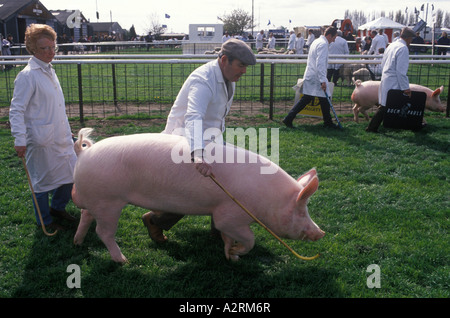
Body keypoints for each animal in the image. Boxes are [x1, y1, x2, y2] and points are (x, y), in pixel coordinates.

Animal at [72, 129, 326, 264]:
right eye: (302, 211)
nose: (321, 232)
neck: (267, 199)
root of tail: (83, 153)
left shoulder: (222, 214)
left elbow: (226, 237)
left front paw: (230, 256)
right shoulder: (231, 215)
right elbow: (250, 239)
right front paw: (237, 254)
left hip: (96, 200)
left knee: (85, 216)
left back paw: (77, 242)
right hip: (108, 202)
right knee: (103, 231)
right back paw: (123, 260)